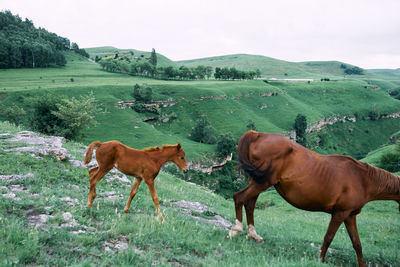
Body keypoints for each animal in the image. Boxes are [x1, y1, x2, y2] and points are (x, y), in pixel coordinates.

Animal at [228, 131, 400, 266]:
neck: (362, 179)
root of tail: (258, 135)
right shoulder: (340, 214)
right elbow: (328, 237)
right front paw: (321, 259)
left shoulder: (350, 216)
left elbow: (357, 243)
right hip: (262, 182)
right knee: (239, 198)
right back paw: (236, 230)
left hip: (258, 182)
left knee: (250, 204)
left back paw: (253, 235)